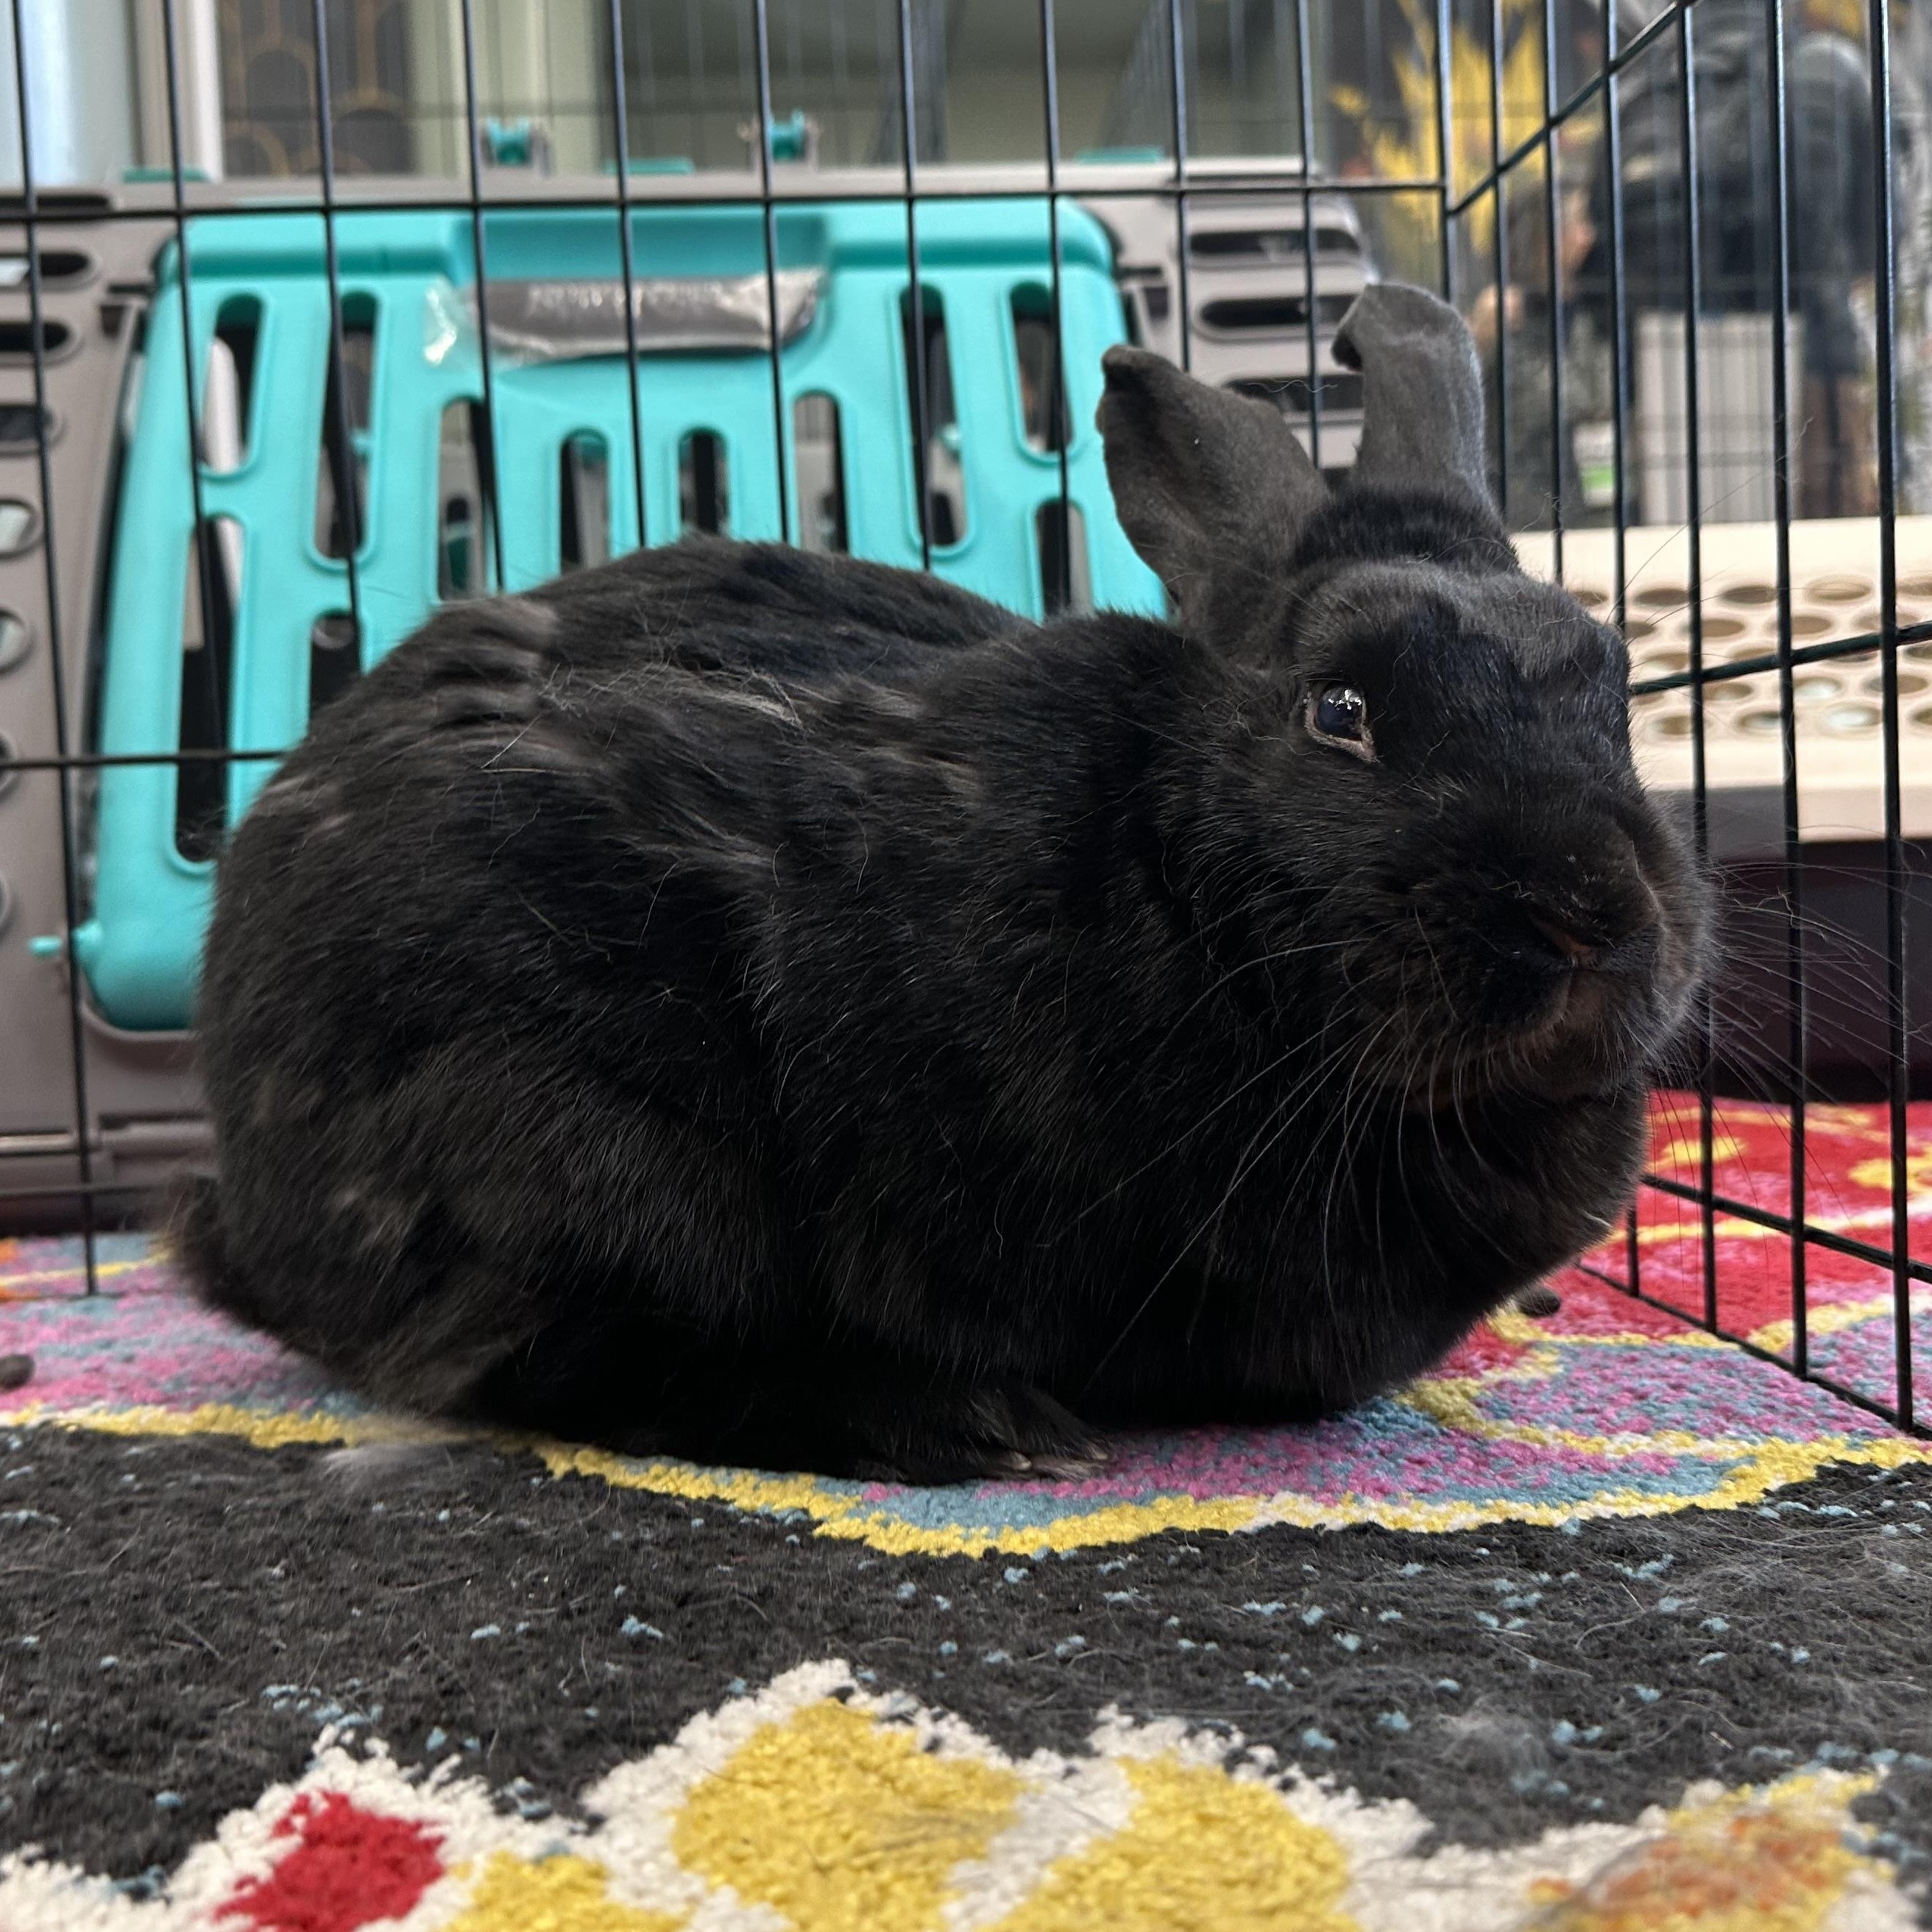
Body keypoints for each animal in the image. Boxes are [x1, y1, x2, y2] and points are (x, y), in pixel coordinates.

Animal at [176, 283, 1712, 1482]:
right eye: (1340, 713)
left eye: (1616, 689)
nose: (1591, 914)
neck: (1174, 887)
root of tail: (242, 1209)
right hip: (585, 1153)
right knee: (576, 1367)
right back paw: (977, 1426)